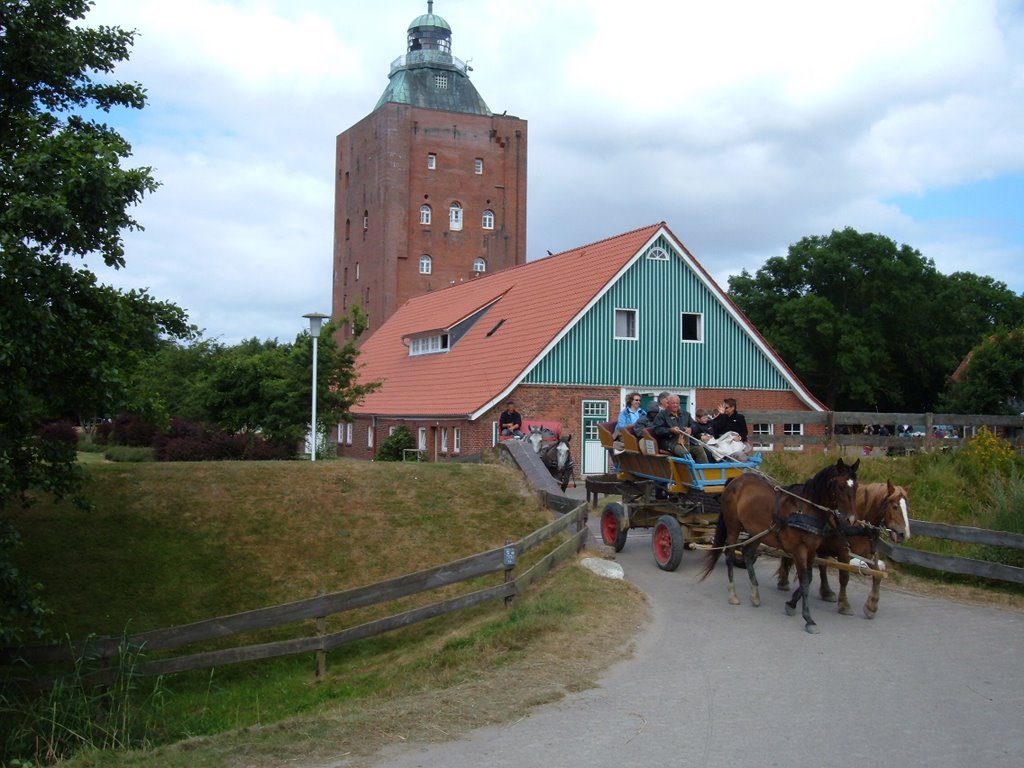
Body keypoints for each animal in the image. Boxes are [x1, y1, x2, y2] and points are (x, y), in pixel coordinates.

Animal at [700, 460, 860, 634]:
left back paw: (755, 593)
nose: (851, 519)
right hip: (733, 527)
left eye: (856, 486)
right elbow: (805, 582)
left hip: (758, 532)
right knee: (729, 555)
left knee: (747, 553)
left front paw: (791, 604)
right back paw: (733, 593)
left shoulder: (811, 550)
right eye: (841, 486)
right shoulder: (798, 550)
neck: (805, 510)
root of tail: (735, 480)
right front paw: (808, 619)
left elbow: (809, 578)